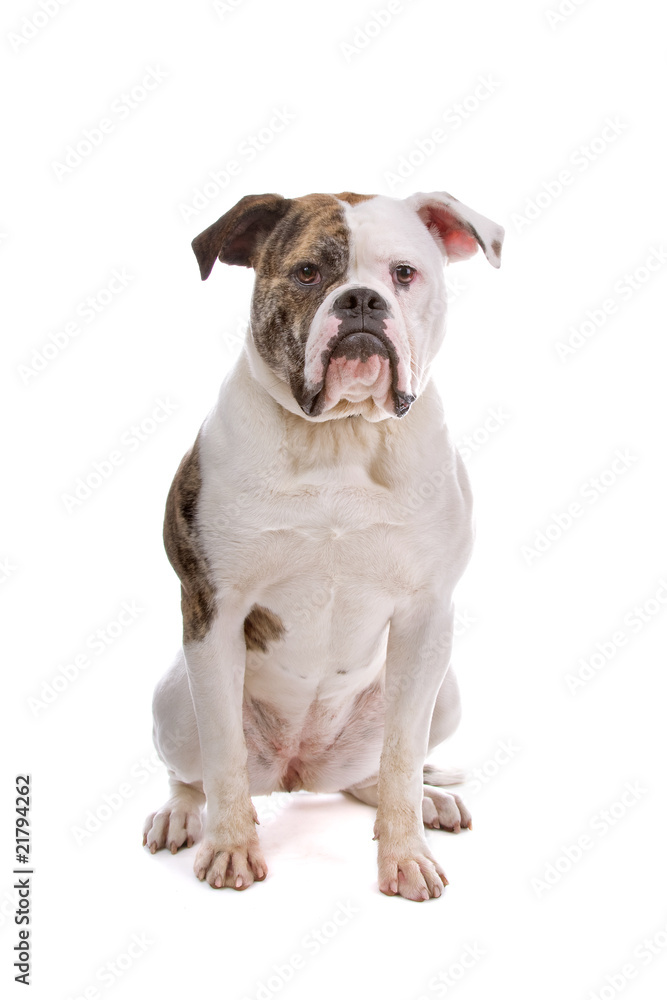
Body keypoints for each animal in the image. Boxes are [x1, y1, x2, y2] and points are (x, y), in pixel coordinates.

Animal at [144, 188, 504, 900]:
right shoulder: (213, 611)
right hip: (173, 697)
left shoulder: (428, 615)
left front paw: (405, 854)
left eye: (403, 273)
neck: (340, 433)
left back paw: (425, 802)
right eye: (309, 273)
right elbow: (223, 757)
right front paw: (231, 848)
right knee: (191, 774)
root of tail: (299, 770)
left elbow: (402, 756)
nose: (361, 300)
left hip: (444, 691)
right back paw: (181, 815)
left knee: (379, 771)